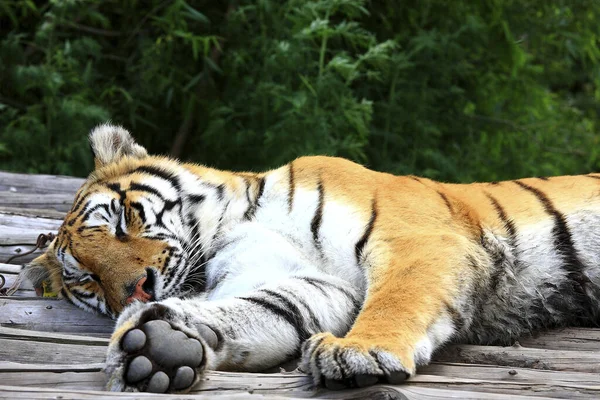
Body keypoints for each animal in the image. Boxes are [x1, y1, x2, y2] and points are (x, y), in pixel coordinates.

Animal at [21, 123, 600, 392]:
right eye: (89, 280)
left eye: (124, 219)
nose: (138, 288)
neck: (235, 224)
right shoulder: (312, 285)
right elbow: (259, 309)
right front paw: (161, 345)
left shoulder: (417, 236)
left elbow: (397, 299)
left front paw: (360, 352)